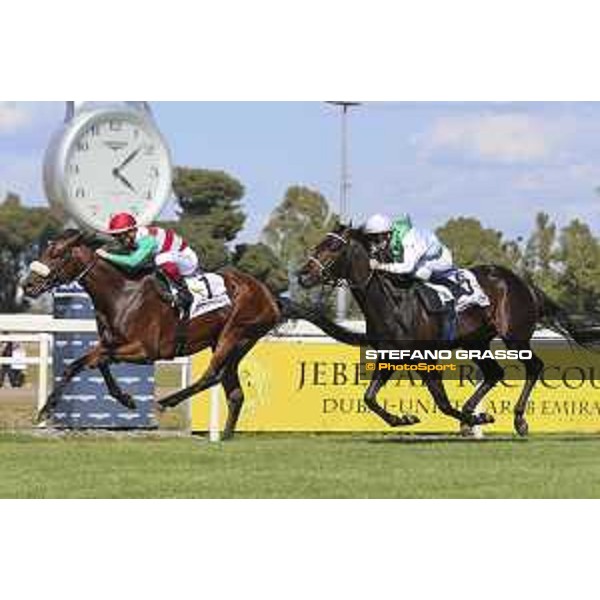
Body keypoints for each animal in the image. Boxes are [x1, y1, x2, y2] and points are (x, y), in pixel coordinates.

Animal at [23, 227, 368, 438]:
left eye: (57, 254)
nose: (27, 285)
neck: (121, 293)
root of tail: (271, 296)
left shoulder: (146, 350)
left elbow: (97, 361)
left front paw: (129, 399)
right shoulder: (111, 342)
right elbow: (83, 363)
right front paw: (47, 409)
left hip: (235, 333)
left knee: (211, 375)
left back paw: (168, 402)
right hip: (237, 343)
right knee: (233, 389)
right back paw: (225, 436)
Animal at [298, 225, 596, 436]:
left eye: (333, 246)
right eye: (319, 244)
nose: (302, 275)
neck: (392, 301)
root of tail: (523, 283)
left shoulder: (425, 357)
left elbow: (441, 402)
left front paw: (479, 417)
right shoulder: (389, 356)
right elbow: (369, 397)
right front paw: (404, 418)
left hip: (515, 337)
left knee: (534, 367)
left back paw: (519, 419)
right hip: (476, 342)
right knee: (494, 373)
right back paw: (472, 414)